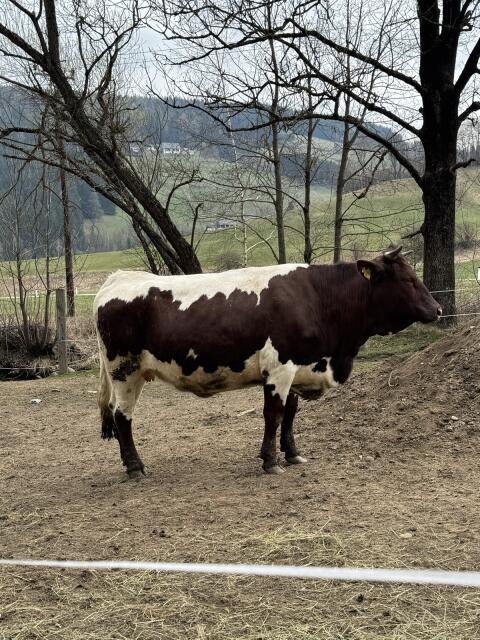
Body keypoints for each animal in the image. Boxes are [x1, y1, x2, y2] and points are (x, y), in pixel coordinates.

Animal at [94, 246, 441, 478]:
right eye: (408, 280)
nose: (437, 309)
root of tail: (118, 279)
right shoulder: (279, 367)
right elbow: (273, 415)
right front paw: (271, 461)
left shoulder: (299, 368)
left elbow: (290, 414)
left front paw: (293, 455)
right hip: (124, 370)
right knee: (122, 416)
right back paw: (135, 467)